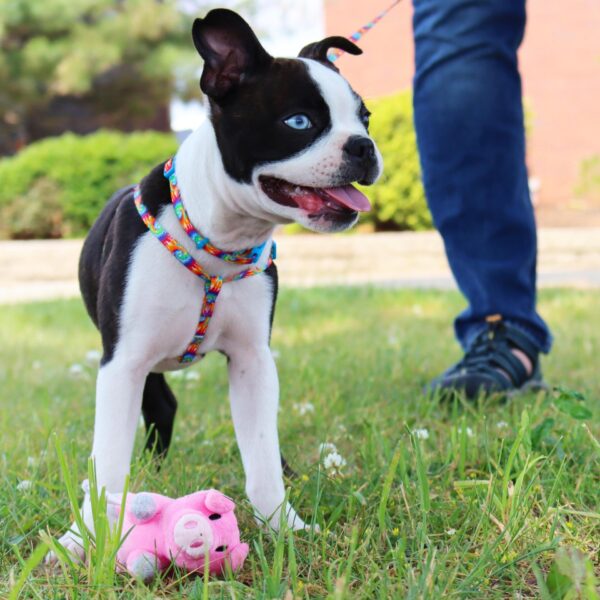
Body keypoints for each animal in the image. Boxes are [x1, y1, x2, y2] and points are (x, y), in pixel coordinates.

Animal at [49, 8, 382, 564]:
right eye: (299, 122)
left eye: (366, 118)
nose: (365, 146)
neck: (217, 240)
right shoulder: (122, 364)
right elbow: (108, 461)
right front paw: (82, 540)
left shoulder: (253, 361)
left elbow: (262, 459)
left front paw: (284, 527)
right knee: (160, 406)